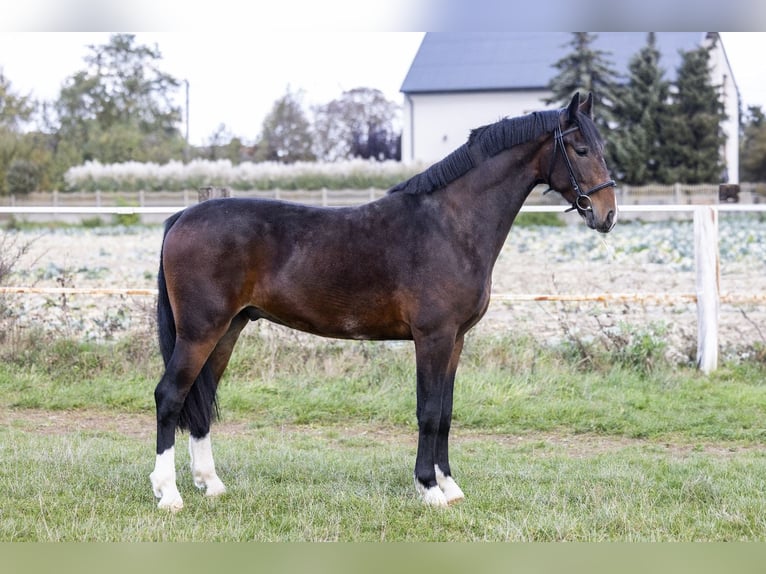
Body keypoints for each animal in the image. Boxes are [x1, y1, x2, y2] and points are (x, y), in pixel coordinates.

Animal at [148, 93, 616, 512]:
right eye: (580, 149)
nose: (607, 214)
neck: (449, 225)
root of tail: (182, 217)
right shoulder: (432, 338)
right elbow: (428, 411)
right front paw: (429, 489)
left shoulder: (455, 340)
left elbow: (445, 412)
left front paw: (450, 486)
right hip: (200, 331)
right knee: (170, 396)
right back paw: (169, 494)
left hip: (228, 329)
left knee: (201, 399)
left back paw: (211, 484)